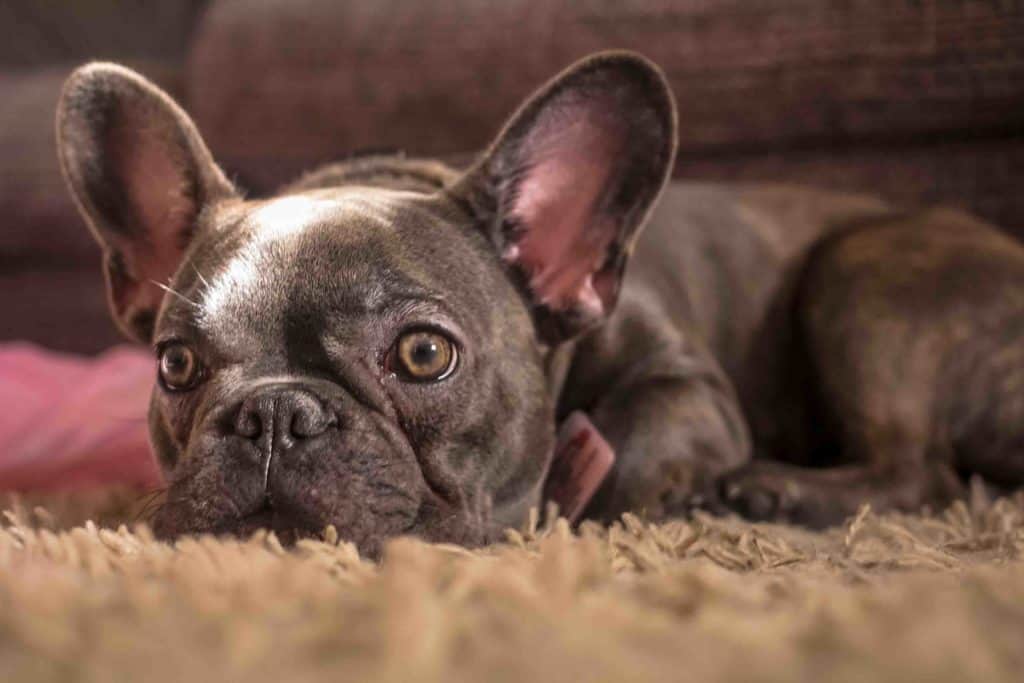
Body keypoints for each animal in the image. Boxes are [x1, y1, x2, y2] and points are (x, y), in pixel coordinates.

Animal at [58, 52, 1024, 557]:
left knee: (922, 469)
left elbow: (630, 442)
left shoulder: (689, 386)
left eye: (423, 354)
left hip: (860, 275)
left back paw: (772, 491)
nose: (272, 413)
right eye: (175, 364)